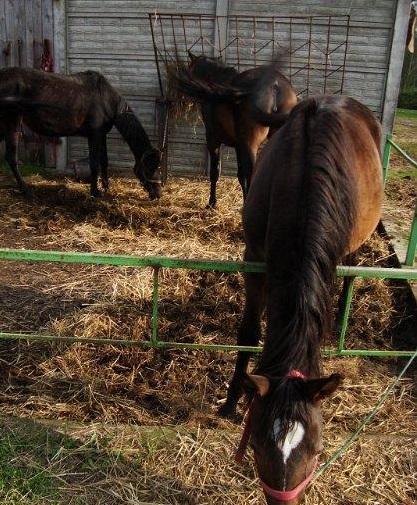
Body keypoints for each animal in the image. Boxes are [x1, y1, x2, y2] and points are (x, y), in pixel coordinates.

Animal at [0, 66, 162, 199]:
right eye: (149, 167)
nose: (157, 194)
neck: (106, 99)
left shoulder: (101, 135)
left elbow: (104, 161)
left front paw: (106, 187)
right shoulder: (94, 136)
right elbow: (94, 164)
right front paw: (95, 192)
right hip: (12, 123)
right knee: (11, 158)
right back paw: (26, 190)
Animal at [174, 53, 298, 207]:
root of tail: (275, 86)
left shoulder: (213, 140)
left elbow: (215, 172)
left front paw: (212, 203)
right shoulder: (239, 145)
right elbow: (240, 175)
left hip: (250, 144)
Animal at [219, 95, 382, 504]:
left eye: (319, 450)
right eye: (256, 445)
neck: (301, 183)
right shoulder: (255, 257)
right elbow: (248, 332)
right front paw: (231, 401)